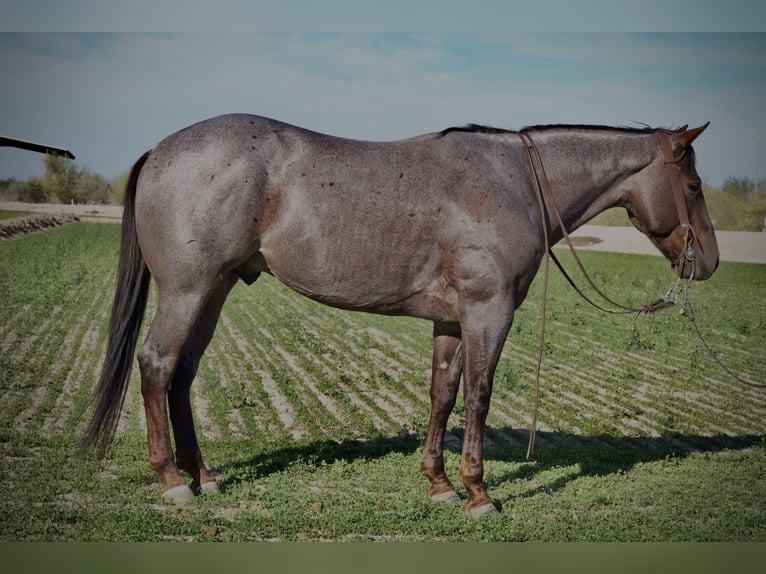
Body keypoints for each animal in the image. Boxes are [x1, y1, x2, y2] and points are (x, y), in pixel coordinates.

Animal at [81, 114, 718, 516]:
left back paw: (202, 476)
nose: (708, 260)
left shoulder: (453, 321)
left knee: (182, 373)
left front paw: (439, 484)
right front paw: (479, 494)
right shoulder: (489, 312)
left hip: (214, 291)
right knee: (157, 364)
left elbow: (443, 394)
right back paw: (172, 481)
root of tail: (161, 150)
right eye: (692, 184)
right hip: (187, 291)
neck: (511, 182)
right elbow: (479, 397)